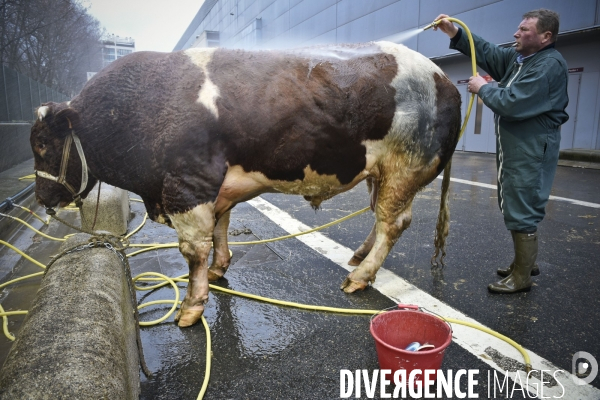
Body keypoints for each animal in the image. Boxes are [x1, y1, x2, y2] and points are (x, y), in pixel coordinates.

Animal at [31, 42, 460, 326]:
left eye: (41, 145)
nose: (40, 197)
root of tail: (444, 79)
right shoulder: (217, 189)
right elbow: (220, 229)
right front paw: (219, 269)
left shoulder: (187, 186)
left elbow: (193, 250)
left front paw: (191, 307)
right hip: (382, 174)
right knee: (381, 218)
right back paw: (358, 256)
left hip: (404, 168)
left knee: (393, 223)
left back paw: (359, 276)